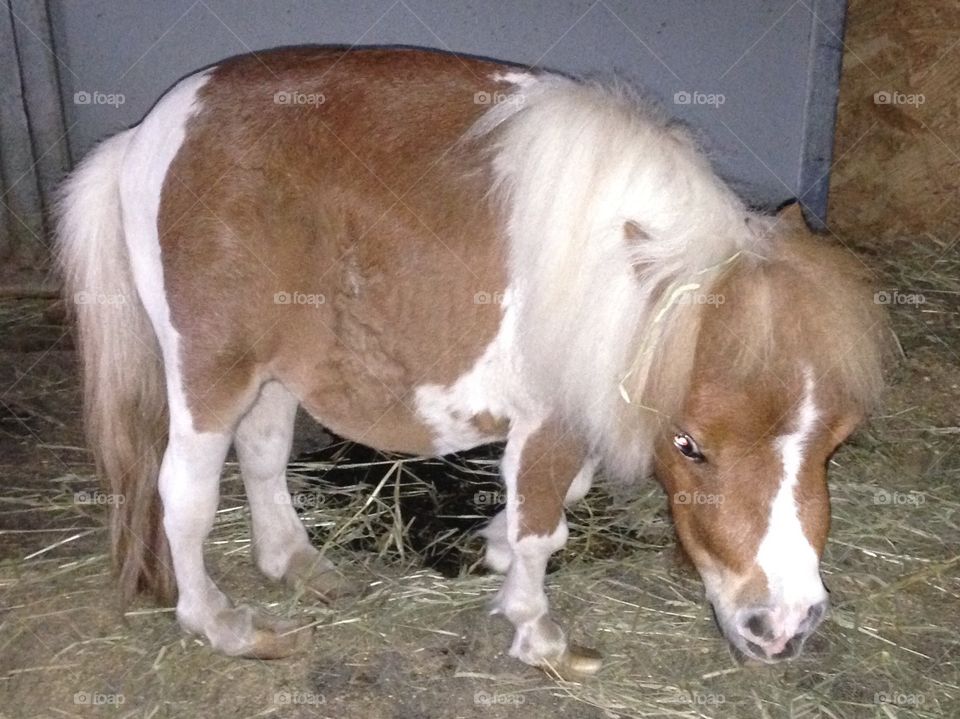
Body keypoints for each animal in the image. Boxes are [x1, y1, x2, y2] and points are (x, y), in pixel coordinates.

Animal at [56, 47, 888, 676]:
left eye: (834, 446)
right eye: (689, 445)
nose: (784, 624)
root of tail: (143, 138)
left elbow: (555, 500)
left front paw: (494, 547)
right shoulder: (550, 415)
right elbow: (541, 525)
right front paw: (537, 630)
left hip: (273, 368)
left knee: (262, 456)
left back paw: (294, 560)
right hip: (211, 374)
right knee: (184, 496)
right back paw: (221, 623)